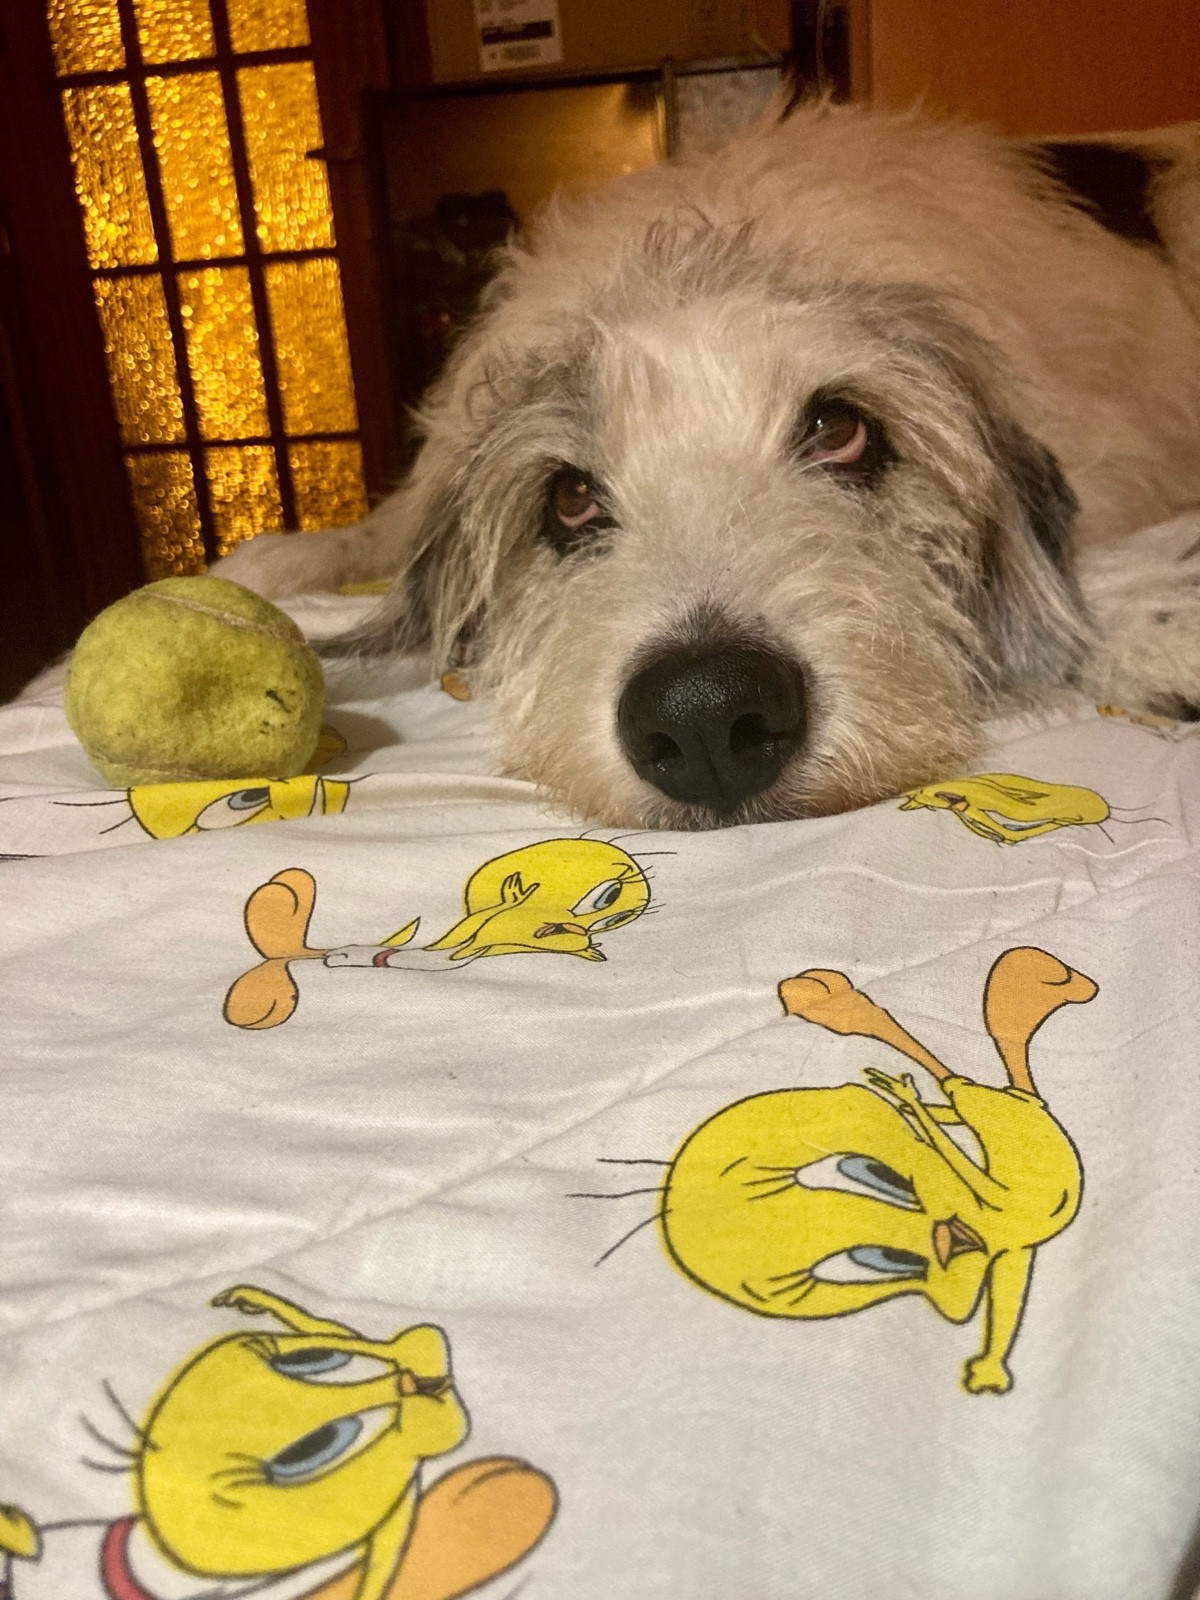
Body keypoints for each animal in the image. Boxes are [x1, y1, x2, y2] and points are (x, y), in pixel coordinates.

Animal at [214, 101, 1200, 829]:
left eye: (841, 431)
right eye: (570, 499)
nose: (707, 715)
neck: (704, 255)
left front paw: (1152, 624)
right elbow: (373, 536)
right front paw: (276, 566)